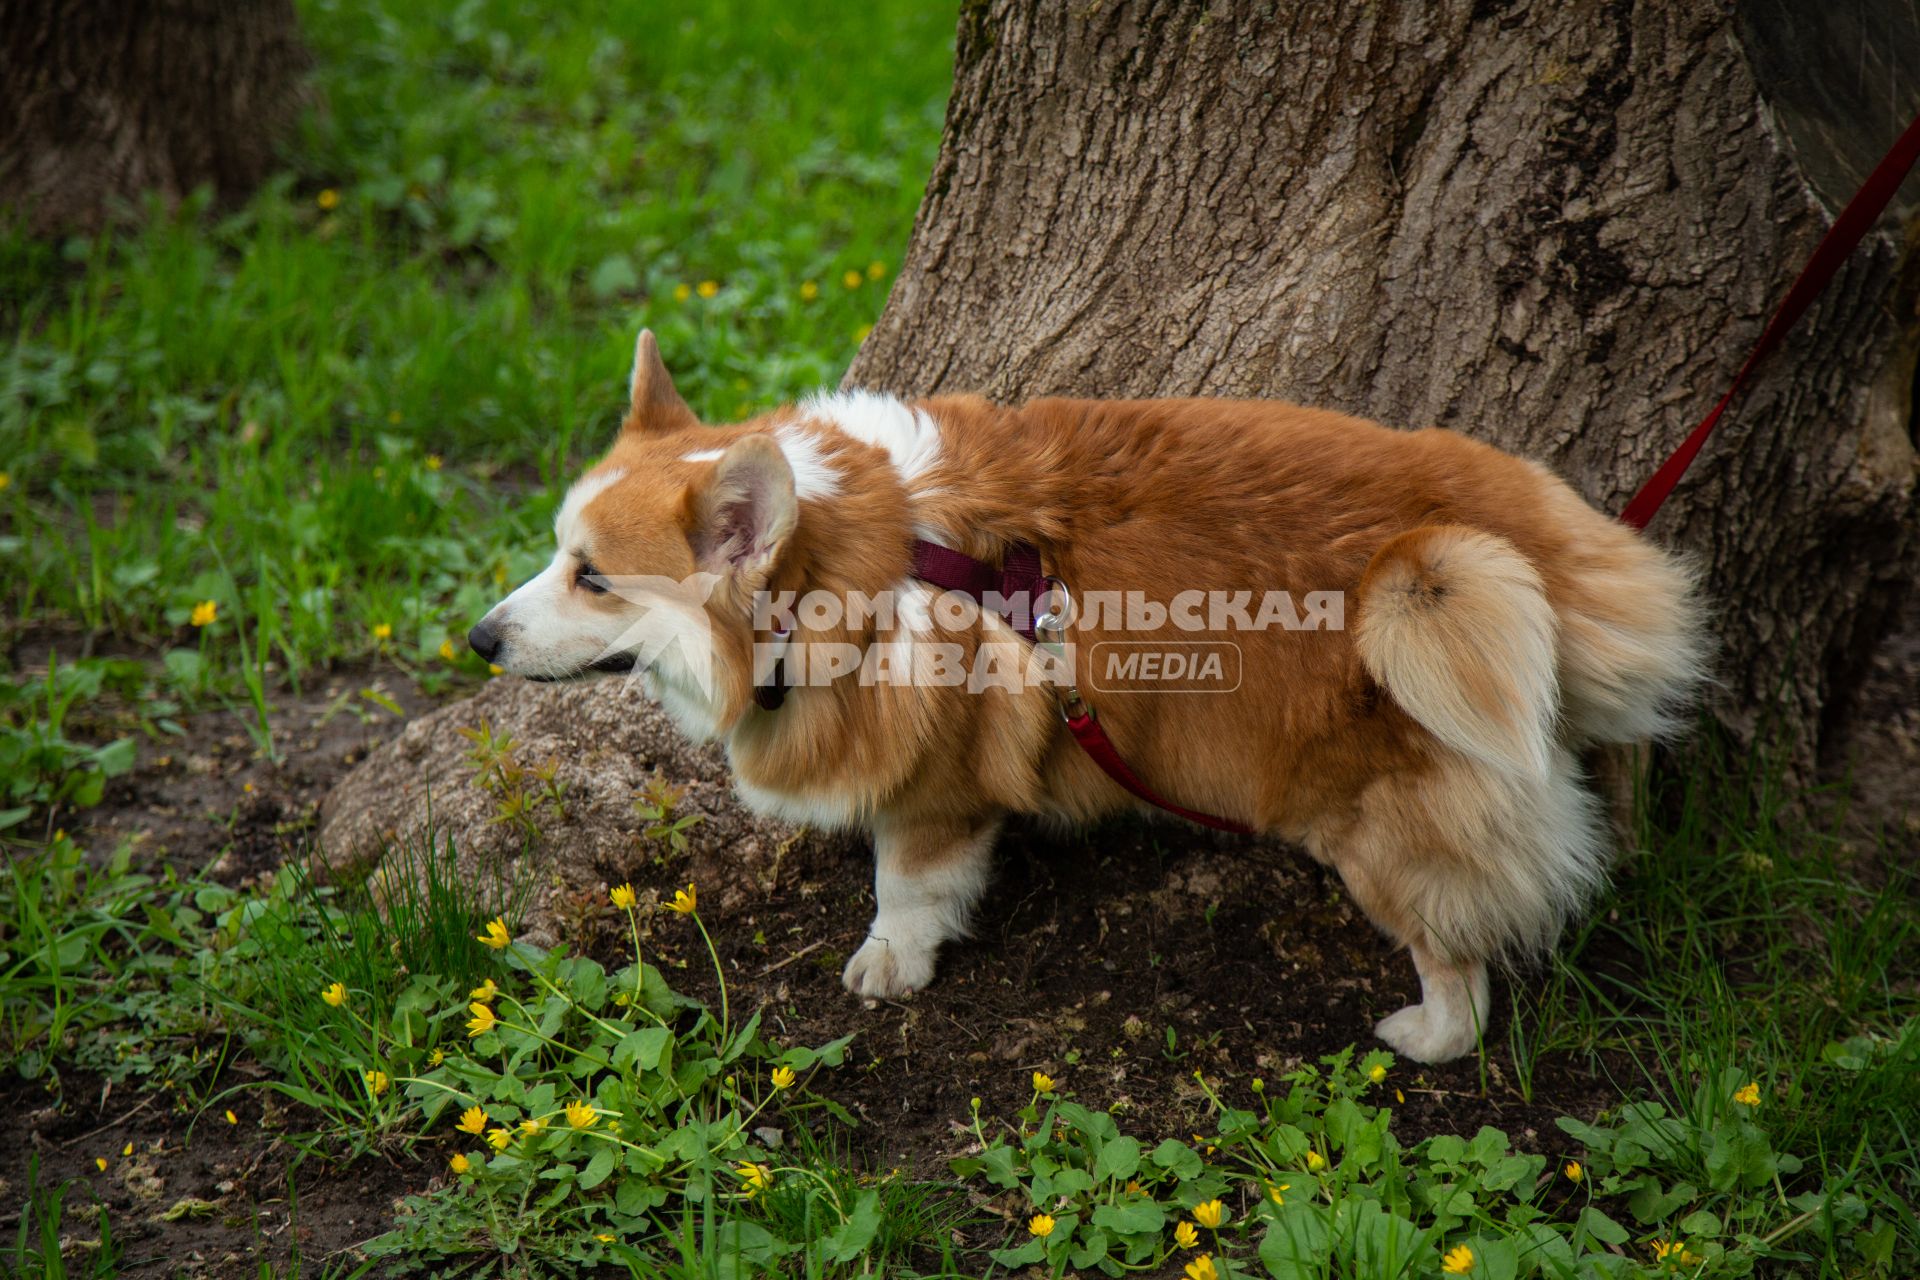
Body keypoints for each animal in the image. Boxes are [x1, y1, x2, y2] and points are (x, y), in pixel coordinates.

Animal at [472, 328, 1704, 1059]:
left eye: (592, 577)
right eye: (555, 553)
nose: (478, 638)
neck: (858, 568)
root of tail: (1527, 557)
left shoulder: (942, 795)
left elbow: (909, 885)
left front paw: (889, 965)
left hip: (1384, 824)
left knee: (1462, 965)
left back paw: (1418, 1030)